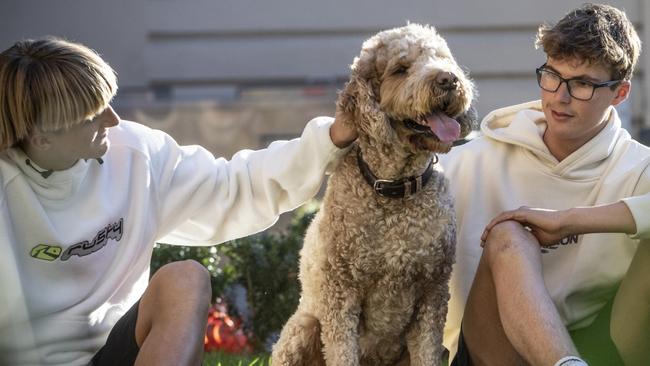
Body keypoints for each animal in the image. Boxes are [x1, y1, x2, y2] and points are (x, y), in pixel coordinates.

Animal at [270, 23, 474, 366]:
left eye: (442, 58)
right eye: (401, 69)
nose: (448, 79)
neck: (396, 189)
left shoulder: (432, 290)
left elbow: (427, 351)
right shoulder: (340, 295)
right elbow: (342, 352)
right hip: (304, 327)